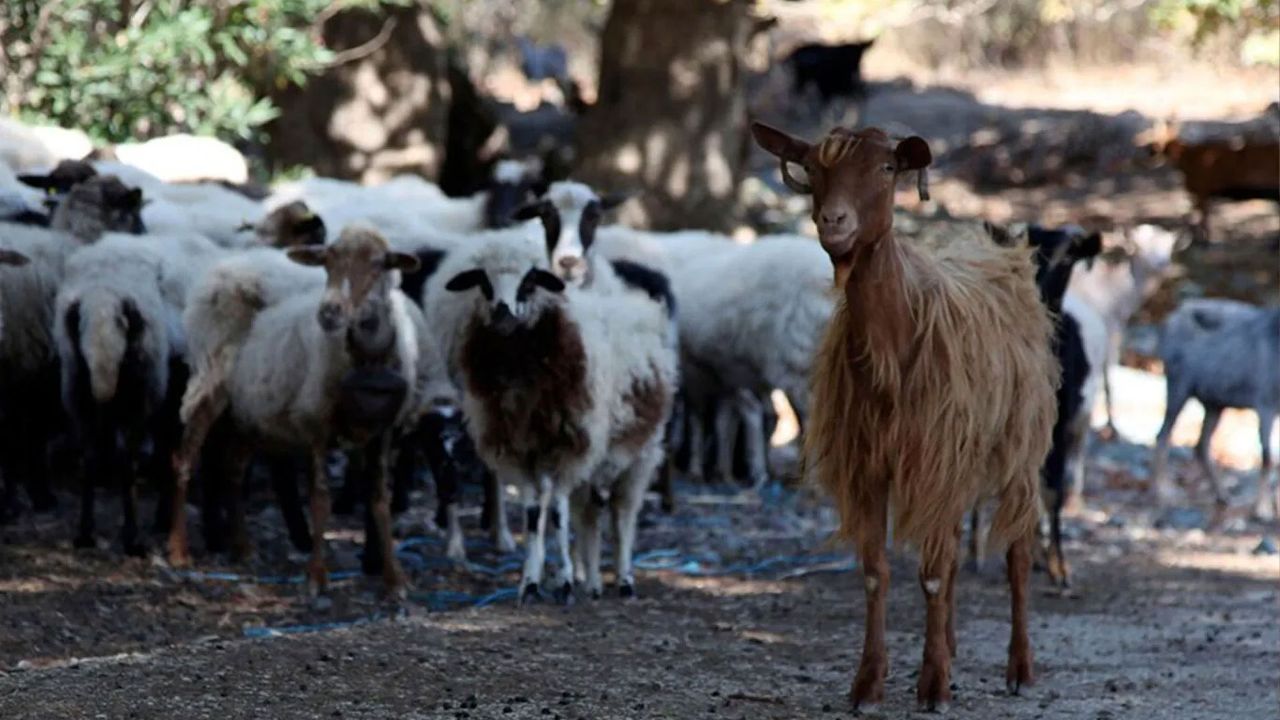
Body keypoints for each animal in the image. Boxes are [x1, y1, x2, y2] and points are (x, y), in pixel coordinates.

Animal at [752, 121, 1054, 707]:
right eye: (813, 168)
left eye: (888, 168)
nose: (834, 221)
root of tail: (999, 251)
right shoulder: (870, 464)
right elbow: (877, 573)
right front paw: (869, 682)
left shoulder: (933, 457)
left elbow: (932, 575)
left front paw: (932, 684)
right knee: (957, 549)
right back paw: (954, 646)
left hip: (1018, 450)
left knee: (1018, 553)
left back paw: (1020, 667)